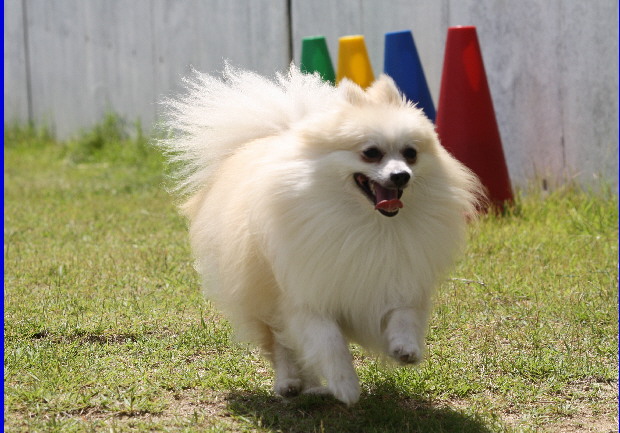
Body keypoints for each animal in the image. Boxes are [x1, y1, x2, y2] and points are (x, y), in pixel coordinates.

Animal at [158, 65, 483, 405]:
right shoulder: (307, 295)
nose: (401, 176)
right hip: (261, 294)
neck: (368, 225)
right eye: (371, 153)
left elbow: (403, 315)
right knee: (280, 345)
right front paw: (345, 385)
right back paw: (289, 382)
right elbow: (328, 342)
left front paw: (405, 348)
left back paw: (312, 385)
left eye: (411, 154)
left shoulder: (397, 276)